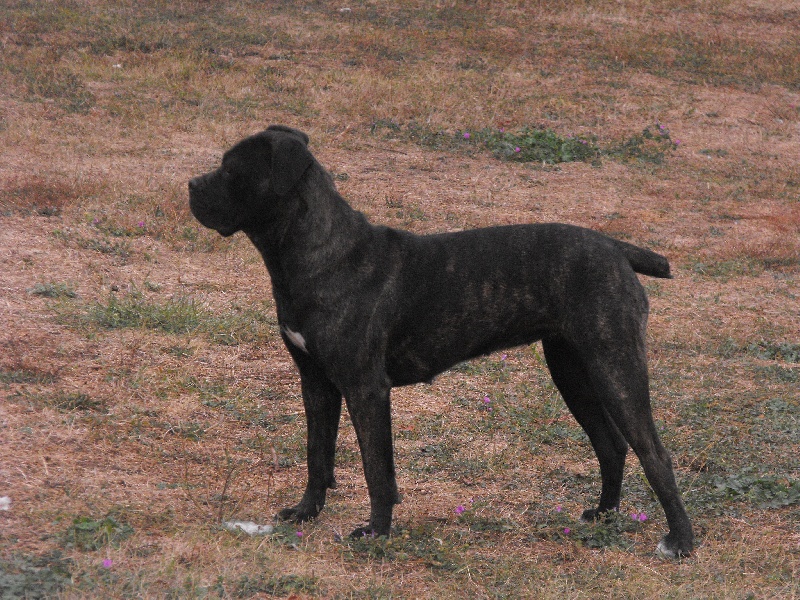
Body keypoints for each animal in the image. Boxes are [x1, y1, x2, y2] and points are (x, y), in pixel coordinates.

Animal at [188, 125, 692, 556]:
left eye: (231, 171)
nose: (191, 184)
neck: (318, 252)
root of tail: (616, 248)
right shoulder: (316, 384)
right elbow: (317, 456)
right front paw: (305, 513)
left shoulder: (366, 389)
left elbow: (377, 470)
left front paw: (376, 532)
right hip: (573, 372)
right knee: (611, 445)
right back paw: (604, 516)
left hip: (615, 369)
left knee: (655, 454)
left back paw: (681, 542)